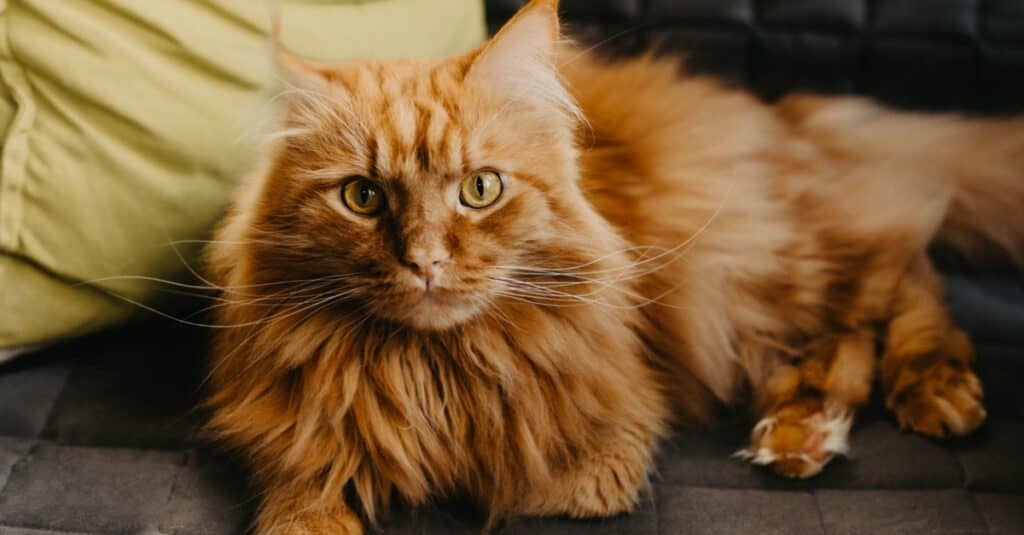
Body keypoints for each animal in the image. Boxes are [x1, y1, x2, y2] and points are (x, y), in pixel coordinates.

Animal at [201, 2, 1024, 528]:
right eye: (363, 197)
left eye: (480, 189)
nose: (427, 261)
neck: (433, 369)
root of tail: (778, 113)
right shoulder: (292, 442)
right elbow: (304, 500)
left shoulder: (604, 452)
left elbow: (515, 479)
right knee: (857, 319)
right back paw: (804, 427)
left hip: (755, 267)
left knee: (905, 273)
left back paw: (931, 389)